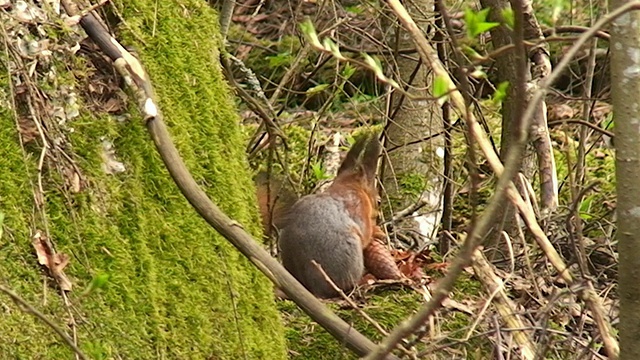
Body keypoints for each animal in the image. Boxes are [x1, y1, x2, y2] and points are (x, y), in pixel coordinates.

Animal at [260, 134, 384, 296]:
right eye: (378, 201)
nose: (377, 214)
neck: (348, 186)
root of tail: (314, 288)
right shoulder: (358, 208)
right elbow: (366, 235)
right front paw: (377, 232)